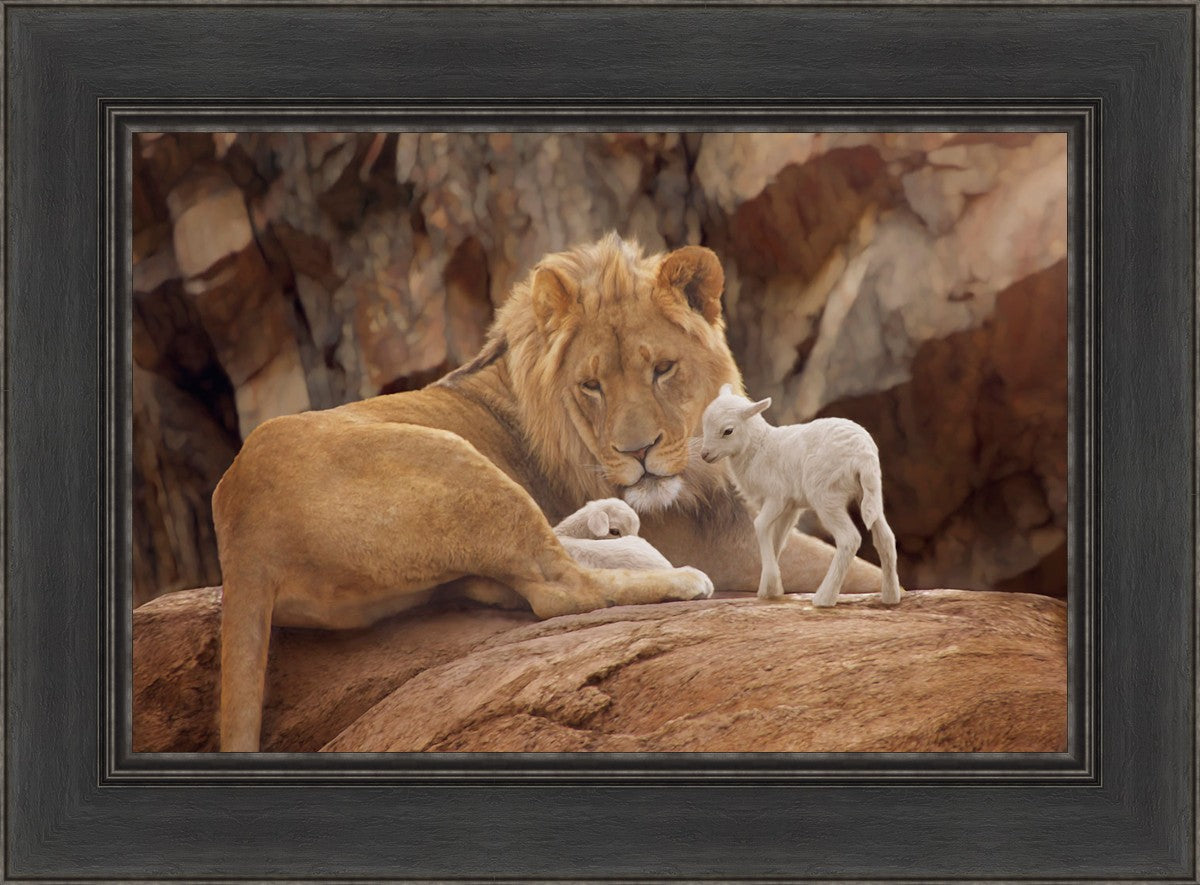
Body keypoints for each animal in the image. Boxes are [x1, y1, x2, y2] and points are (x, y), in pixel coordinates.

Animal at [212, 233, 881, 751]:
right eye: (592, 385)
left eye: (662, 369)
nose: (638, 453)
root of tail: (241, 530)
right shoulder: (727, 545)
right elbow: (858, 567)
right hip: (455, 460)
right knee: (559, 588)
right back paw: (674, 577)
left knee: (519, 573)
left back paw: (609, 524)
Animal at [699, 384, 902, 607]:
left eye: (728, 431)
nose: (704, 455)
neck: (758, 448)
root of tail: (863, 454)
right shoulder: (790, 507)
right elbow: (777, 539)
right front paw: (769, 588)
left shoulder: (777, 497)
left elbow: (760, 525)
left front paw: (771, 584)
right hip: (870, 492)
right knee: (885, 538)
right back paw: (891, 596)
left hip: (826, 495)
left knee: (849, 539)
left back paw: (824, 597)